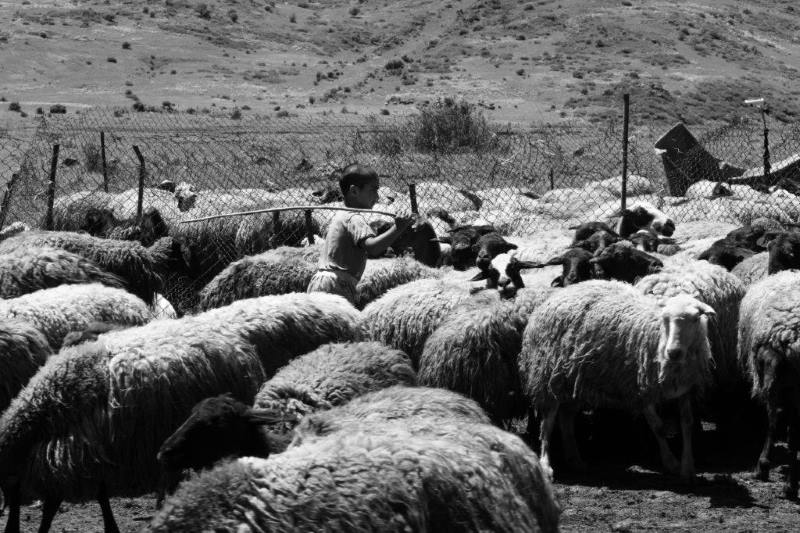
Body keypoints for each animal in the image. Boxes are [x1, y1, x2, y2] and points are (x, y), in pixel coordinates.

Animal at [520, 280, 716, 480]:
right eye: (665, 319)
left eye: (695, 319)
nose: (673, 352)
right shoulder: (640, 388)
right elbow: (658, 427)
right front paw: (671, 463)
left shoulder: (686, 388)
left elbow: (687, 424)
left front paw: (687, 468)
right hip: (549, 377)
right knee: (547, 424)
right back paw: (546, 465)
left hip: (573, 383)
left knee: (566, 419)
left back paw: (575, 459)